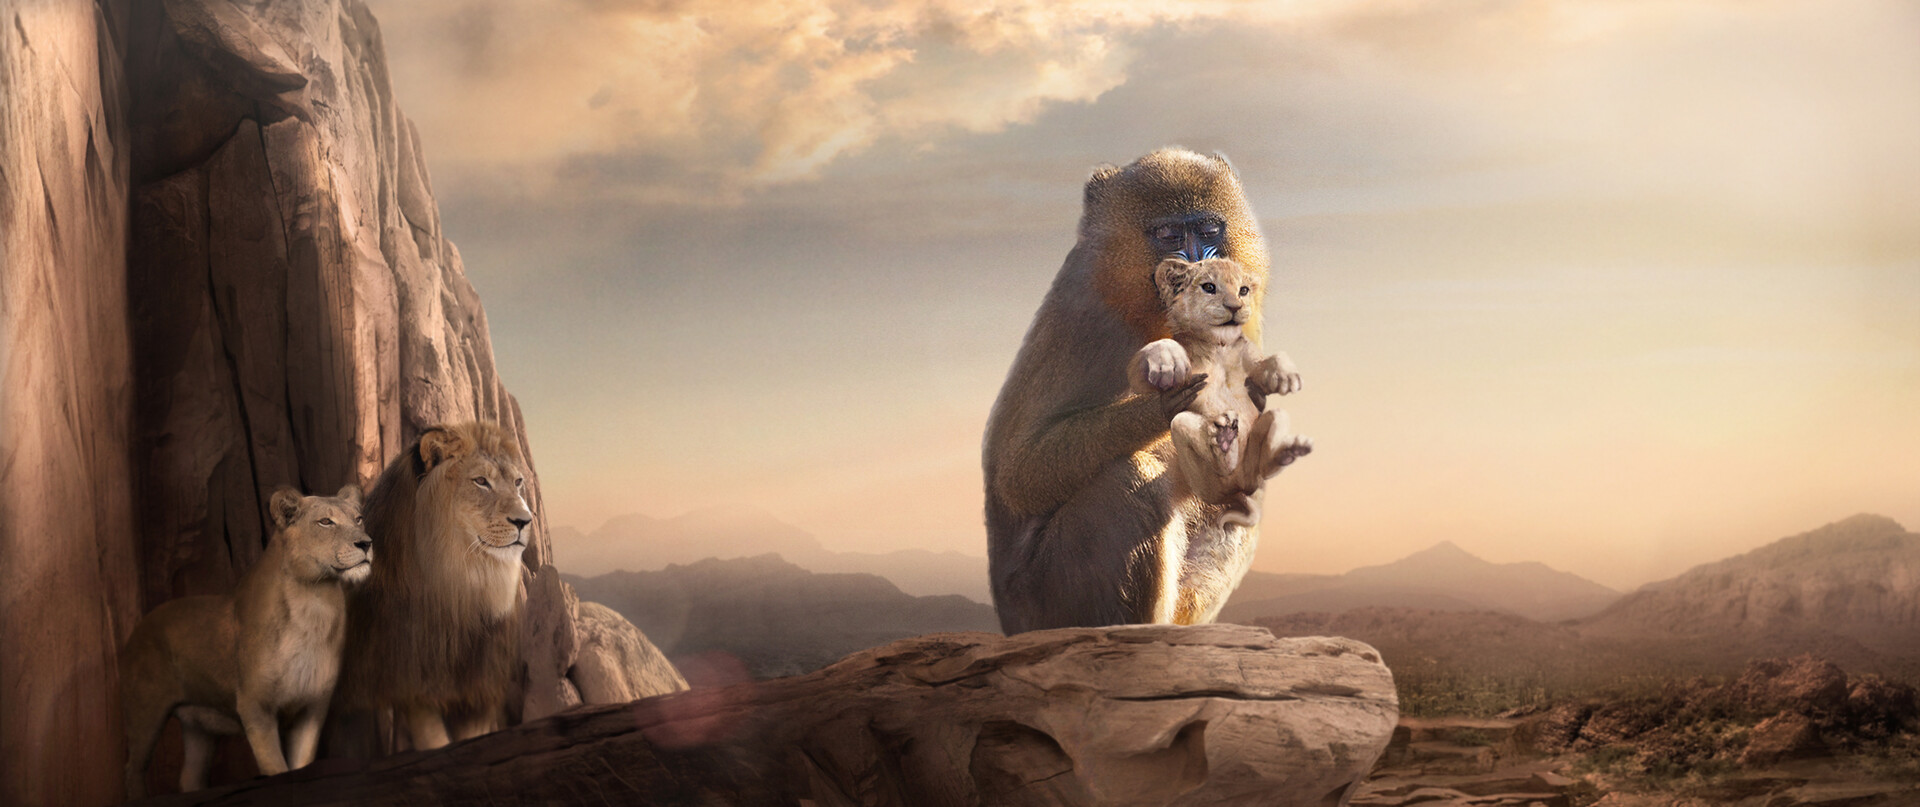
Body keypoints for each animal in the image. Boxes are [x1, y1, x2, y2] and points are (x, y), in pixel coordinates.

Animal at [120, 484, 370, 798]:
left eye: (358, 519)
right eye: (326, 522)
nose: (366, 543)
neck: (314, 603)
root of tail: (140, 625)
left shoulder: (312, 708)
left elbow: (302, 764)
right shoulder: (255, 706)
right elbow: (275, 767)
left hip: (200, 728)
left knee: (190, 778)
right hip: (146, 713)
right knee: (133, 770)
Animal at [337, 421, 534, 752]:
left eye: (518, 482)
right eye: (481, 481)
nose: (525, 521)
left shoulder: (480, 679)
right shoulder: (410, 678)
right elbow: (434, 740)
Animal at [1128, 256, 1311, 529]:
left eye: (1243, 290)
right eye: (1209, 287)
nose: (1235, 306)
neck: (1219, 347)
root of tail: (1238, 489)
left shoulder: (1252, 361)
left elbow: (1269, 363)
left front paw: (1285, 376)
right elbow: (1144, 364)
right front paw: (1167, 361)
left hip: (1255, 464)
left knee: (1267, 452)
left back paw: (1286, 452)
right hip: (1202, 479)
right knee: (1213, 461)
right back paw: (1225, 441)